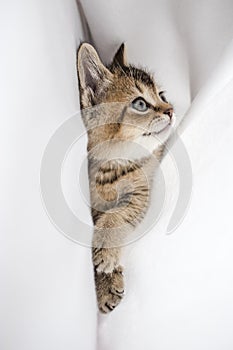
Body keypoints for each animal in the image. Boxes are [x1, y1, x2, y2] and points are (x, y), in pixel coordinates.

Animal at [77, 42, 175, 314]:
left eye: (162, 95)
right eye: (140, 104)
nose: (171, 110)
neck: (111, 165)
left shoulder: (139, 194)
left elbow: (114, 217)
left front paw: (106, 256)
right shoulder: (93, 205)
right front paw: (104, 284)